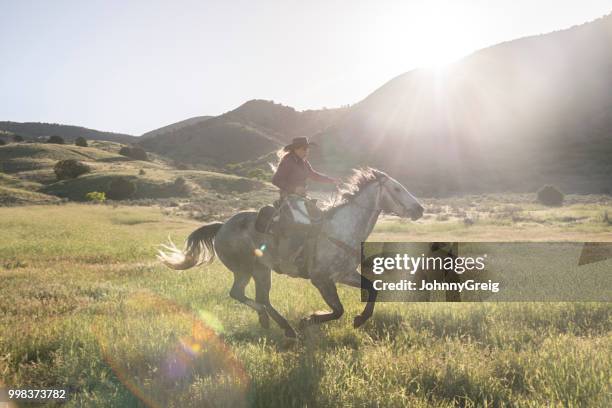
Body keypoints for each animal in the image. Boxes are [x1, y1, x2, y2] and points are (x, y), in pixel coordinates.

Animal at [160, 168, 424, 338]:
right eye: (397, 189)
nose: (420, 209)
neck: (340, 228)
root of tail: (221, 226)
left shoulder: (344, 275)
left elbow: (372, 289)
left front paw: (360, 319)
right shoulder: (322, 280)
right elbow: (338, 310)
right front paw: (309, 320)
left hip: (261, 271)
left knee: (259, 298)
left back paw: (278, 325)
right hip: (247, 270)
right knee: (243, 295)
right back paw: (279, 324)